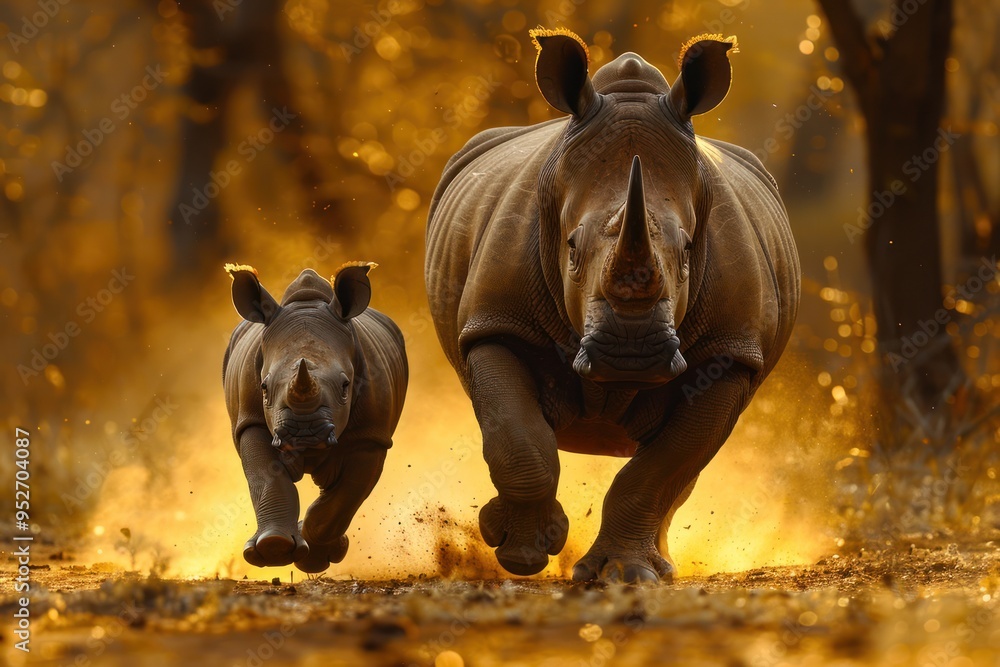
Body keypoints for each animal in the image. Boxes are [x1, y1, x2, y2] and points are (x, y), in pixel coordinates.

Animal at [223, 263, 407, 573]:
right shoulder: (251, 420)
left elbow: (347, 496)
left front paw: (313, 557)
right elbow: (266, 476)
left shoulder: (371, 434)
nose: (304, 434)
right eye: (264, 387)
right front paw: (274, 548)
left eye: (345, 386)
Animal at [425, 30, 800, 583]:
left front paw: (625, 574)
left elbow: (664, 467)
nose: (631, 355)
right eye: (571, 248)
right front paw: (521, 554)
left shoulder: (731, 351)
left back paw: (663, 565)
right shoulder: (496, 322)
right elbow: (518, 439)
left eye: (689, 250)